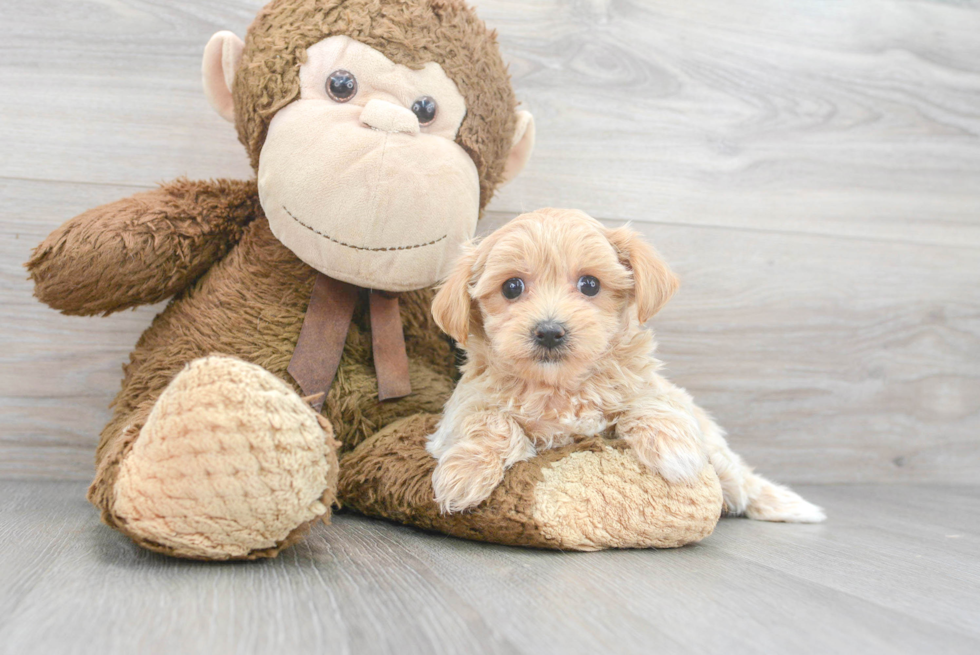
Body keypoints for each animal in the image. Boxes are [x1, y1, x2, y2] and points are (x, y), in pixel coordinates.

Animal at [428, 208, 828, 524]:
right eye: (512, 287)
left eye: (590, 284)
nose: (550, 332)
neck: (561, 386)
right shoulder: (464, 405)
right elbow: (487, 421)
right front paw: (464, 472)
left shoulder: (651, 386)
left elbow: (649, 402)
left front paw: (675, 452)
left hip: (721, 455)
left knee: (740, 480)